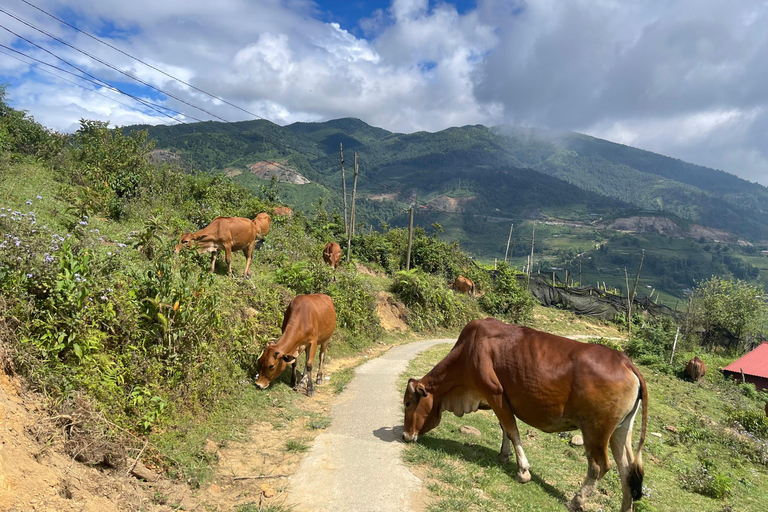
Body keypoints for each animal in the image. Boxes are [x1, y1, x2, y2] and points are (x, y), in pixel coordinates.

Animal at [402, 318, 648, 510]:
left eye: (407, 403)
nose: (405, 435)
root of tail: (626, 362)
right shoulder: (499, 400)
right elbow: (504, 429)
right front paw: (504, 455)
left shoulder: (495, 393)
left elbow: (512, 430)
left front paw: (523, 471)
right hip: (620, 431)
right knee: (627, 471)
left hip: (595, 430)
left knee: (599, 466)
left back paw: (576, 501)